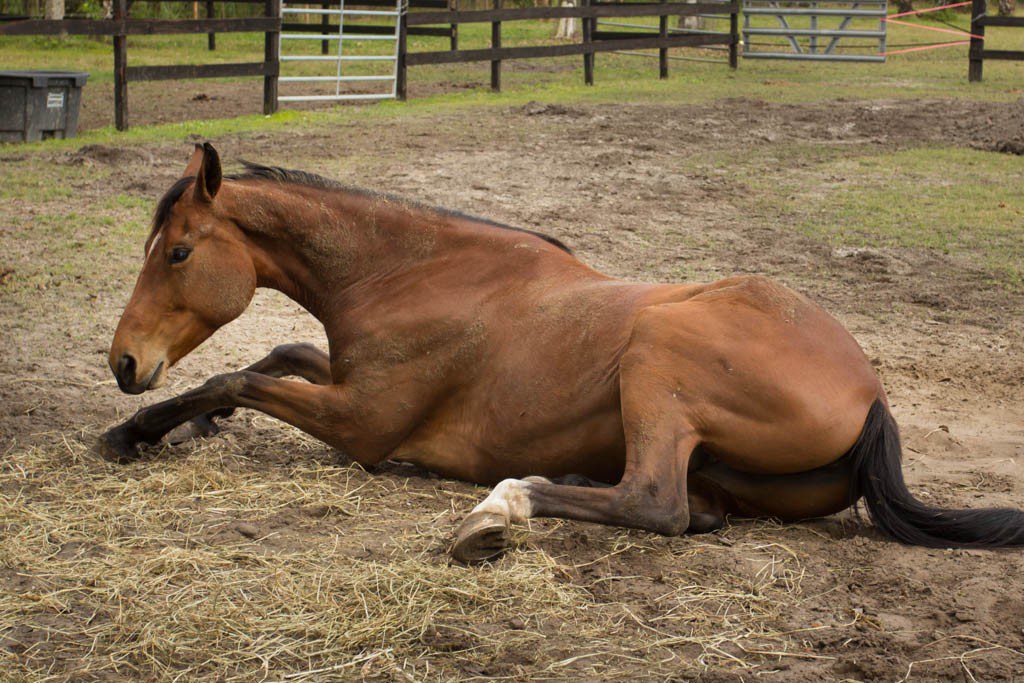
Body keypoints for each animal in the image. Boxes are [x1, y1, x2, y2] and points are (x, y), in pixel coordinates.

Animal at [97, 143, 1024, 561]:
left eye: (177, 252)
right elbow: (279, 352)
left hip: (656, 354)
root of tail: (873, 398)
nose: (124, 363)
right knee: (693, 509)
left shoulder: (365, 423)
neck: (412, 271)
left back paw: (499, 511)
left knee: (657, 504)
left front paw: (134, 432)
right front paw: (190, 425)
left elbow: (237, 373)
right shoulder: (348, 378)